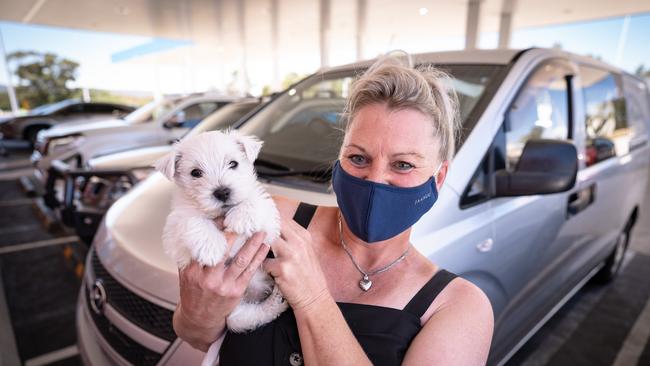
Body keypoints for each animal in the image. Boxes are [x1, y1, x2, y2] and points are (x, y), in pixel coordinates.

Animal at [154, 130, 286, 364]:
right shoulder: (174, 229)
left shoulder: (269, 225)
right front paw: (212, 247)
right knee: (247, 318)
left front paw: (241, 218)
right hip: (231, 315)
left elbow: (253, 202)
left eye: (233, 163)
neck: (221, 213)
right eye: (196, 173)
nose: (222, 192)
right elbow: (192, 221)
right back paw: (274, 302)